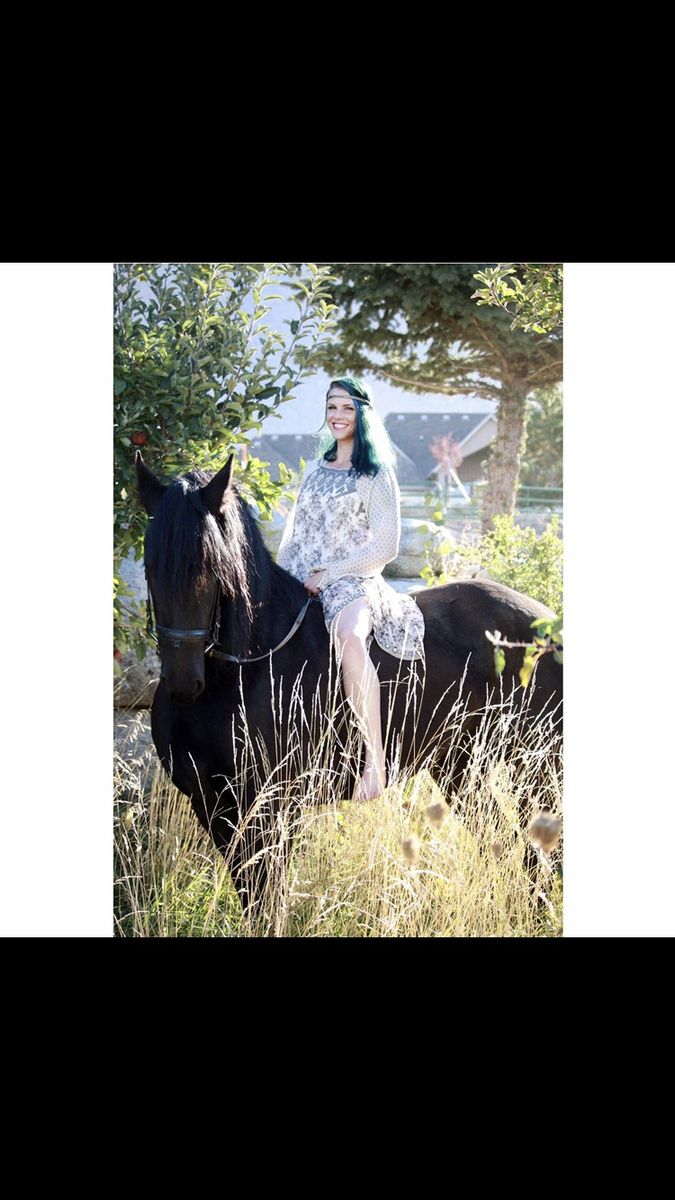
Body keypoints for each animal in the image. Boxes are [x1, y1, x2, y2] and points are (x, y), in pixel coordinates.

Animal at [135, 451, 562, 922]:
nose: (183, 680)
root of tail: (546, 622)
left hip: (538, 769)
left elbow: (268, 902)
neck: (242, 670)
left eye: (213, 568)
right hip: (462, 768)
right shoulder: (213, 806)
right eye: (150, 565)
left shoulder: (272, 807)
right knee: (518, 850)